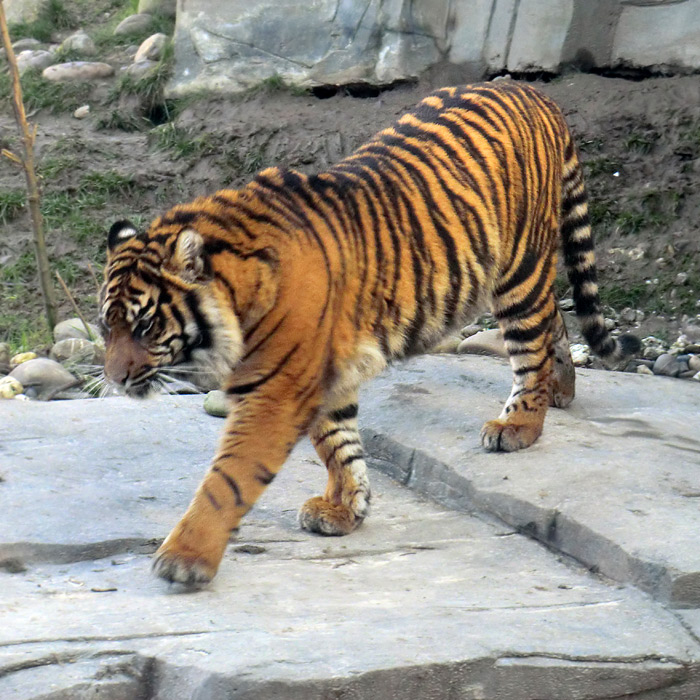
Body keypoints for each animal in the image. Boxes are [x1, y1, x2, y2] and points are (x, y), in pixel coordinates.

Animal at [100, 80, 640, 584]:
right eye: (108, 327)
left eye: (145, 325)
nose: (116, 379)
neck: (240, 293)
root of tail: (527, 89)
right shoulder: (326, 373)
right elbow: (338, 445)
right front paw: (345, 508)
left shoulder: (277, 391)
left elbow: (227, 478)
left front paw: (183, 559)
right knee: (556, 321)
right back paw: (561, 391)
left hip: (519, 268)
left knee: (533, 342)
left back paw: (519, 425)